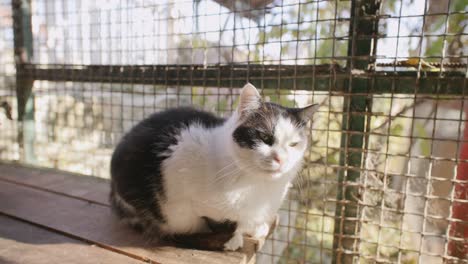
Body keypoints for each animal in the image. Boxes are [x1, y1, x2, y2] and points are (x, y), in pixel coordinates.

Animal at [109, 83, 318, 251]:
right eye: (265, 137)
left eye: (293, 144)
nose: (280, 159)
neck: (257, 184)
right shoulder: (183, 188)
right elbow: (218, 222)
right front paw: (232, 239)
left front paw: (255, 228)